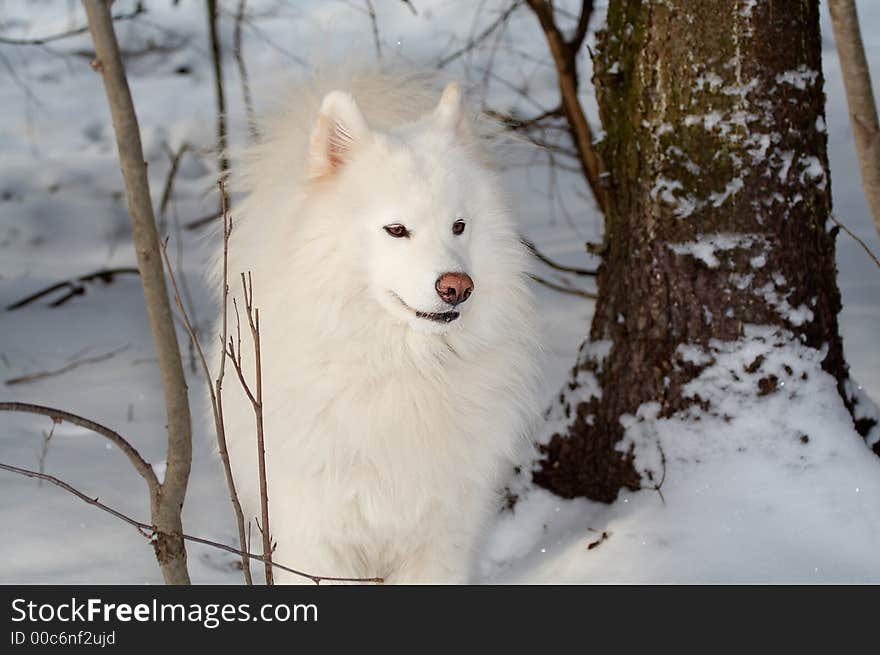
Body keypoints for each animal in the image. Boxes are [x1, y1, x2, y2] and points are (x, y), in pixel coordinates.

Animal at [215, 72, 544, 584]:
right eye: (396, 229)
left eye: (459, 226)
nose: (457, 287)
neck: (404, 366)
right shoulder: (319, 538)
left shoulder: (440, 535)